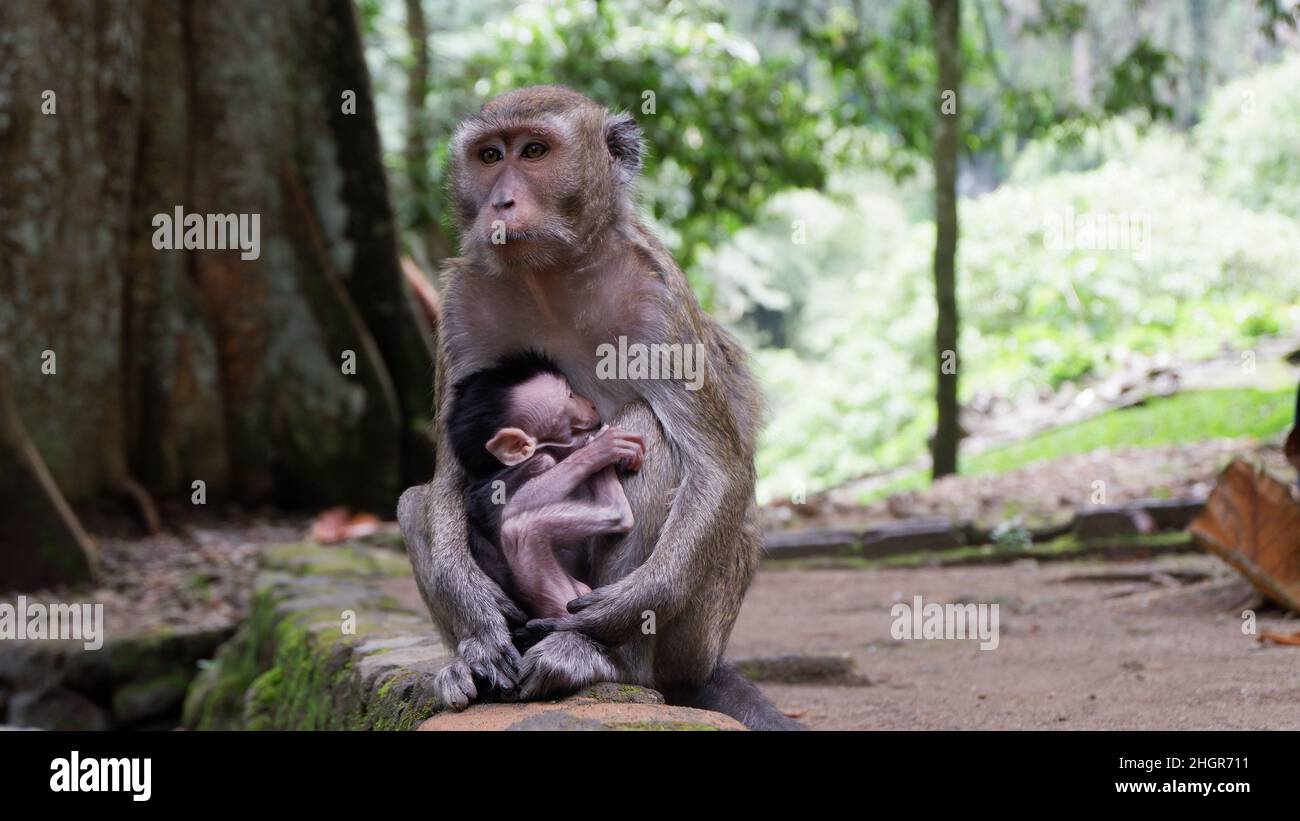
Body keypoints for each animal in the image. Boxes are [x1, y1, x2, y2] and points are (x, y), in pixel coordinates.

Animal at [449, 350, 647, 620]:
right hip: (562, 602)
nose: (591, 404)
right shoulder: (532, 465)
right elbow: (508, 506)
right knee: (520, 530)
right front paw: (599, 448)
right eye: (570, 396)